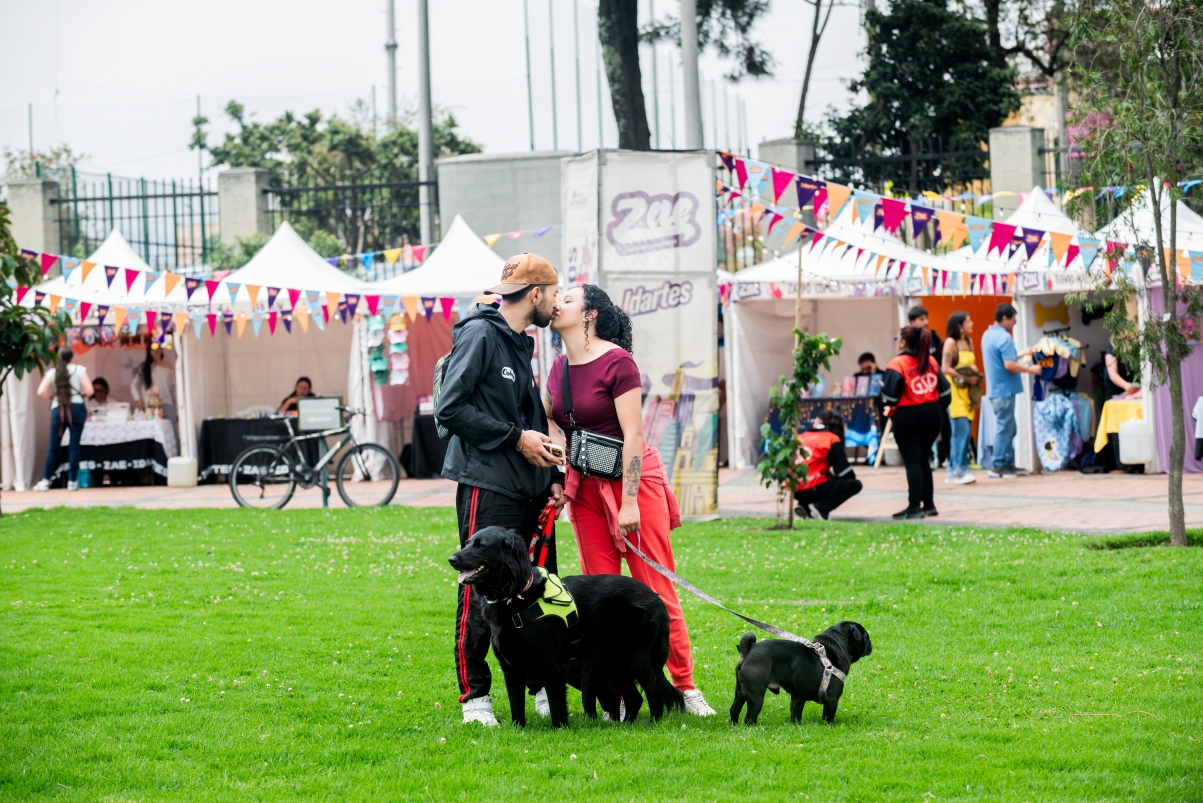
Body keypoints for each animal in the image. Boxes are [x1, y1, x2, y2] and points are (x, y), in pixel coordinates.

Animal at [448, 526, 685, 727]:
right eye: (467, 543)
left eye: (481, 545)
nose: (451, 559)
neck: (516, 596)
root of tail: (657, 599)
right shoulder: (511, 669)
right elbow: (517, 707)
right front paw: (518, 730)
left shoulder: (551, 666)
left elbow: (557, 706)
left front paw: (559, 730)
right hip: (615, 663)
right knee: (634, 698)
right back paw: (625, 726)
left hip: (636, 658)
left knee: (653, 694)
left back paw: (652, 724)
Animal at [730, 621, 872, 725]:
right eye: (866, 637)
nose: (871, 643)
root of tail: (749, 649)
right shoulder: (832, 698)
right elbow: (828, 717)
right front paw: (830, 727)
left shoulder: (797, 697)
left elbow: (795, 714)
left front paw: (797, 726)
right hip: (756, 695)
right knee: (749, 717)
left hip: (740, 692)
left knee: (734, 709)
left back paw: (734, 726)